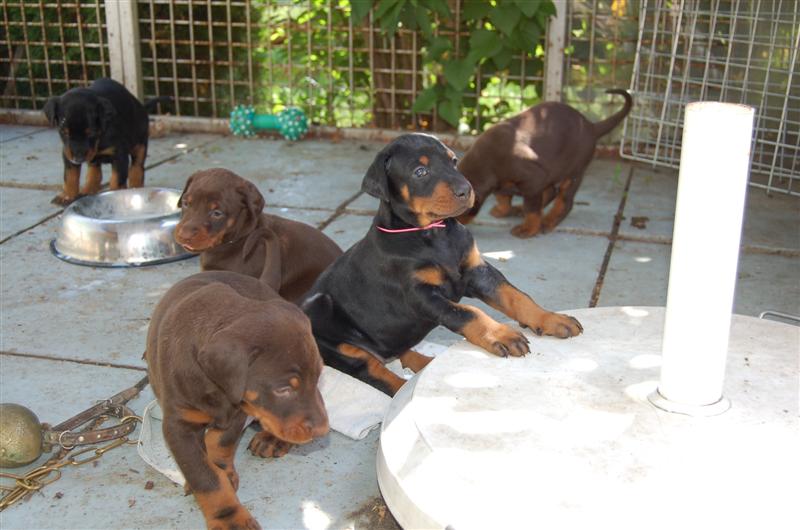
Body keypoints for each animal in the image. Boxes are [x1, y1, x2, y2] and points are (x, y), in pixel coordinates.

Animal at [145, 271, 329, 530]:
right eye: (283, 390)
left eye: (318, 376)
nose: (323, 430)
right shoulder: (178, 425)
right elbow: (206, 477)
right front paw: (229, 517)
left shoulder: (239, 411)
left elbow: (221, 442)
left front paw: (223, 470)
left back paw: (272, 439)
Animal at [301, 133, 583, 395]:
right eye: (420, 171)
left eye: (453, 161)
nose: (467, 190)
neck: (434, 234)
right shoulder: (420, 295)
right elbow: (468, 312)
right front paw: (501, 334)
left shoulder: (478, 272)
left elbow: (517, 297)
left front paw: (551, 318)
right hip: (331, 328)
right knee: (377, 373)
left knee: (399, 352)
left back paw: (423, 364)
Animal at [457, 89, 633, 238]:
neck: (486, 161)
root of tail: (591, 126)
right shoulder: (503, 184)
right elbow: (503, 197)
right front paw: (502, 210)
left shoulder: (533, 179)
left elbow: (532, 209)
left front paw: (528, 229)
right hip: (553, 172)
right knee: (550, 192)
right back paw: (521, 210)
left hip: (573, 172)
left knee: (564, 201)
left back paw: (548, 222)